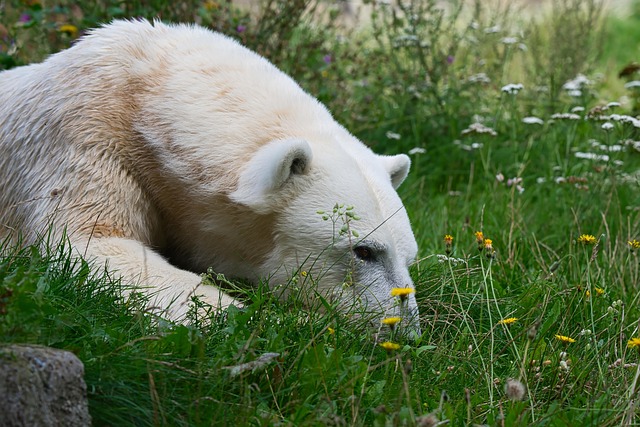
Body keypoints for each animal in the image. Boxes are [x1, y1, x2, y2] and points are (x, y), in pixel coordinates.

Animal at [0, 19, 420, 333]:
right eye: (363, 251)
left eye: (409, 257)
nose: (406, 329)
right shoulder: (85, 135)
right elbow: (92, 244)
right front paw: (289, 323)